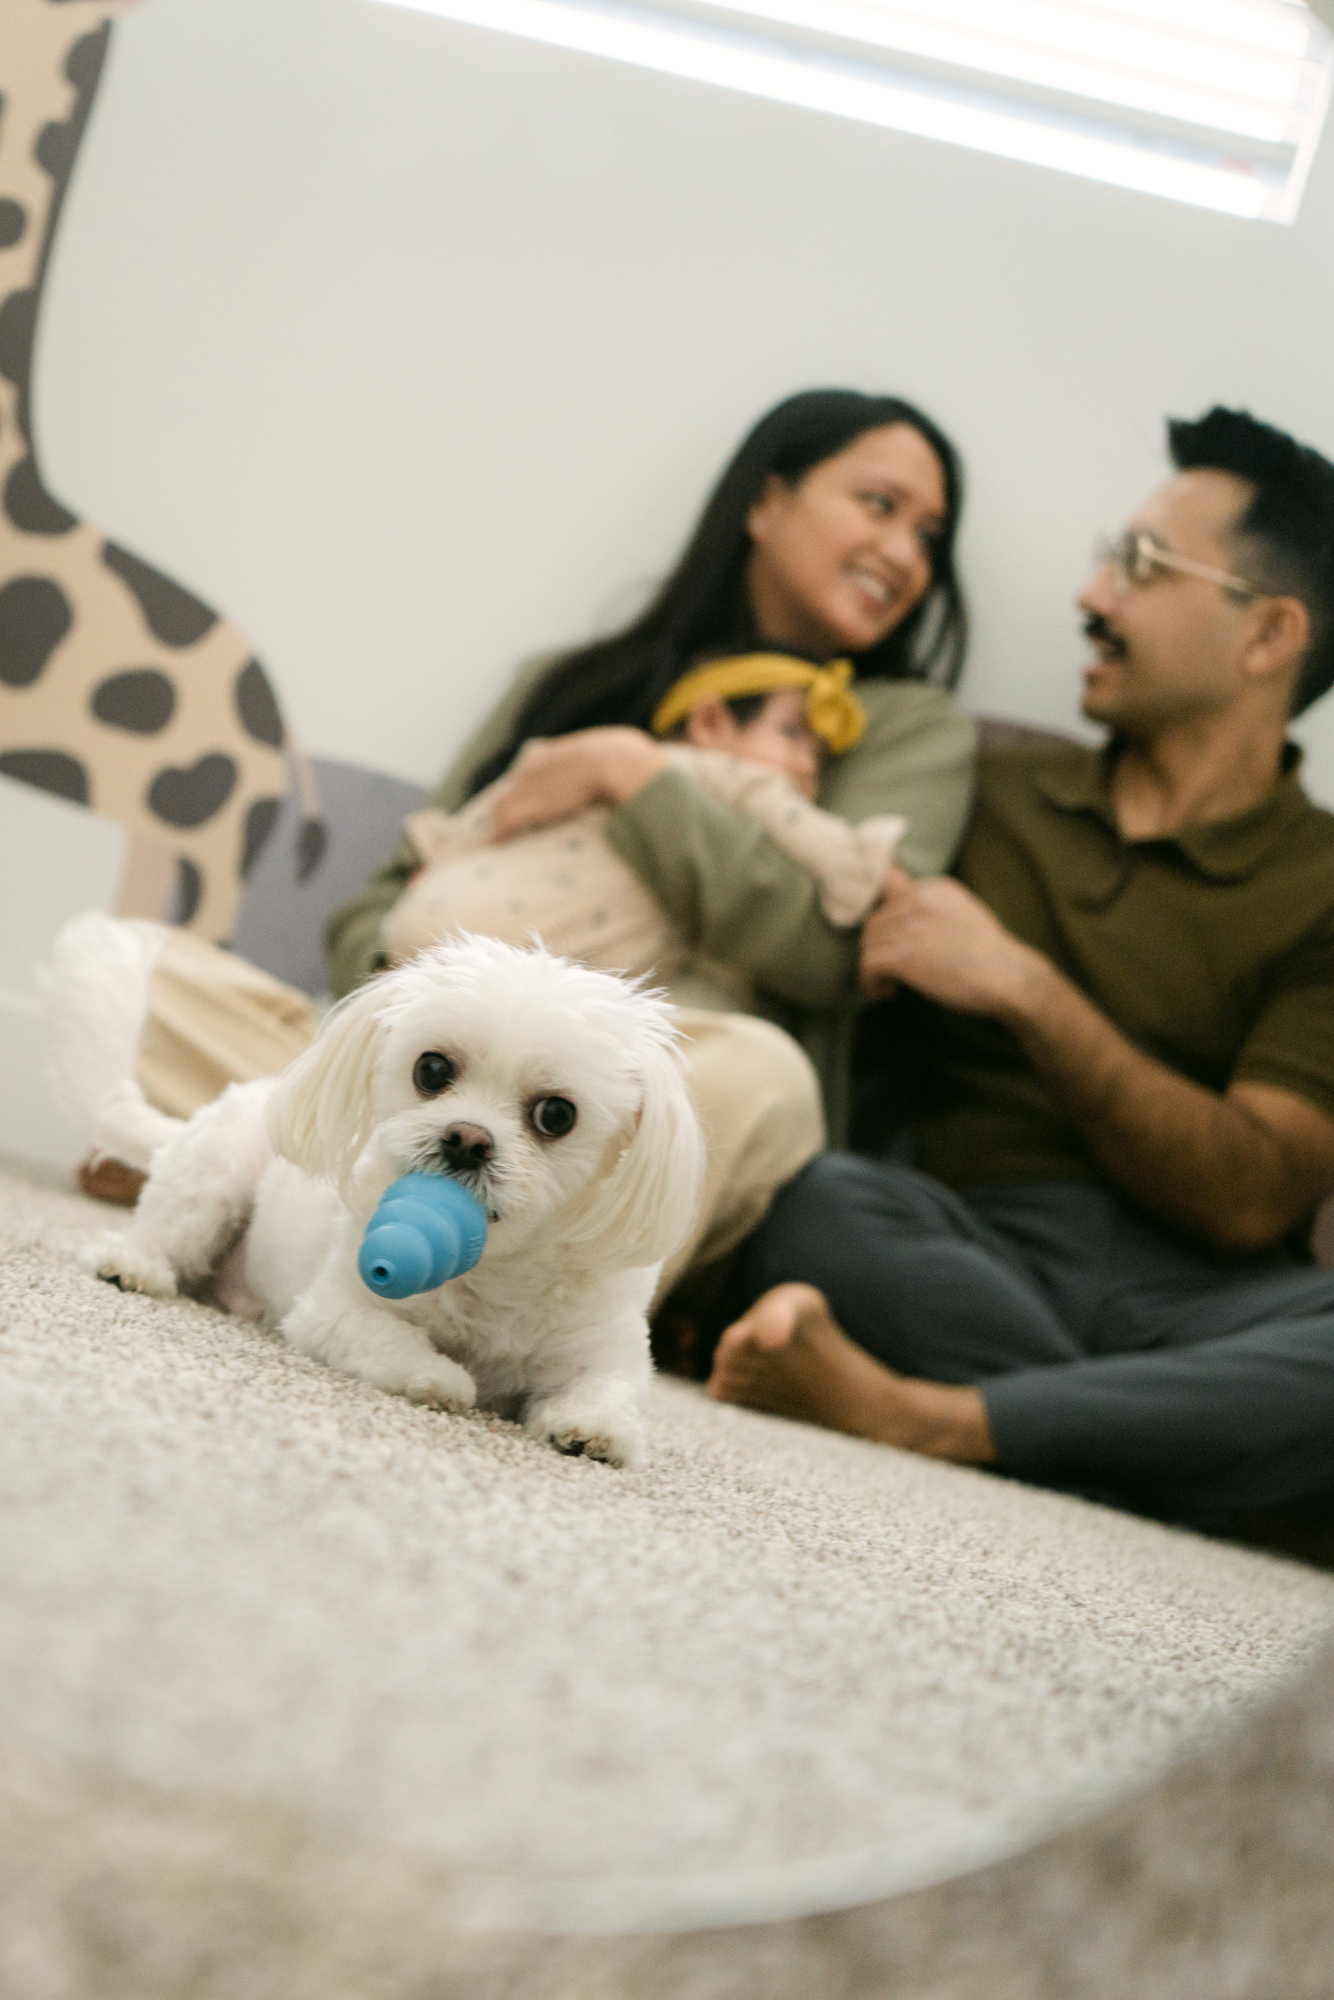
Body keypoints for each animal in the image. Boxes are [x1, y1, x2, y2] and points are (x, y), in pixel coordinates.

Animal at [73, 936, 704, 1472]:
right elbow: (393, 1340)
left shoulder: (609, 1352)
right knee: (159, 1235)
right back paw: (133, 1266)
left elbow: (607, 1390)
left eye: (556, 1114)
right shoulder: (334, 1311)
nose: (467, 1139)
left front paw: (594, 1429)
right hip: (215, 1179)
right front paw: (437, 1376)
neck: (492, 1270)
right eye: (432, 1068)